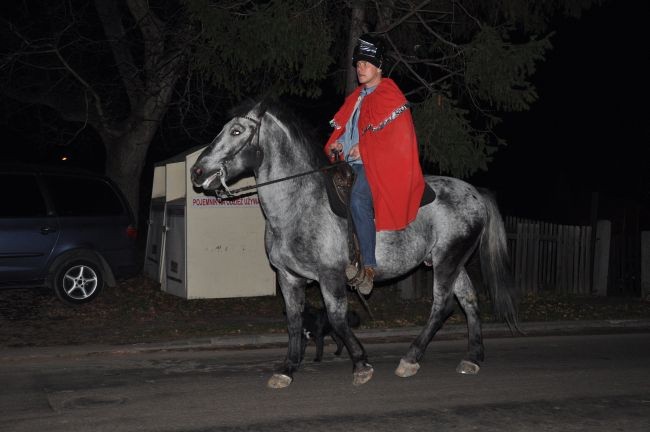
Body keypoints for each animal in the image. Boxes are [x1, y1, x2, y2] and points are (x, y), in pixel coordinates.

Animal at [189, 100, 516, 388]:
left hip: (448, 260)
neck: (300, 203)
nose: (197, 171)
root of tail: (475, 193)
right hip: (452, 260)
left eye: (236, 131)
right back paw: (472, 357)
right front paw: (287, 369)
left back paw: (410, 359)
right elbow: (294, 321)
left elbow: (337, 319)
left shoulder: (330, 275)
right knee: (469, 300)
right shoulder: (288, 277)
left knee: (443, 305)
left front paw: (361, 364)